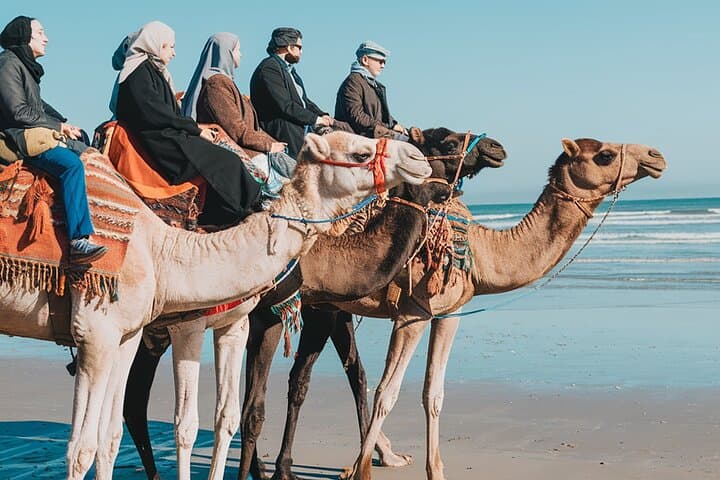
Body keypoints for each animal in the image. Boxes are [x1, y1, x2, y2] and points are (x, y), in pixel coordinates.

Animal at [0, 131, 431, 480]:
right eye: (360, 152)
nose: (418, 160)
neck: (162, 250)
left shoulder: (141, 333)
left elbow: (209, 419)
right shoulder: (106, 334)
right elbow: (92, 446)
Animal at [121, 129, 507, 480]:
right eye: (445, 142)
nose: (495, 147)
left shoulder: (317, 308)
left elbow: (331, 378)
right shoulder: (283, 314)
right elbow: (260, 406)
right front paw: (278, 469)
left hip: (153, 331)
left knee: (134, 399)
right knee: (135, 399)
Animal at [241, 138, 667, 480]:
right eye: (605, 154)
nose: (655, 155)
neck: (480, 252)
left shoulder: (448, 315)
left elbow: (434, 393)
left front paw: (435, 471)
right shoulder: (412, 313)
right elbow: (387, 392)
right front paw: (358, 473)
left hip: (323, 307)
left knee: (321, 376)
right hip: (306, 304)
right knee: (301, 380)